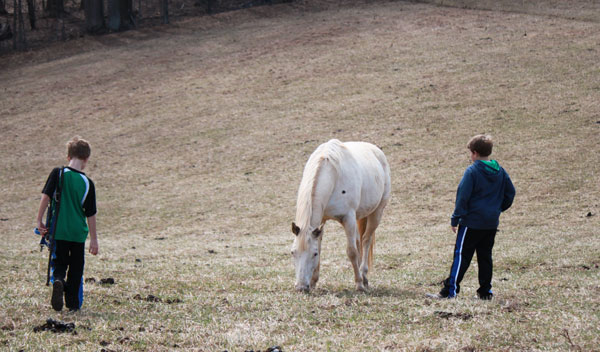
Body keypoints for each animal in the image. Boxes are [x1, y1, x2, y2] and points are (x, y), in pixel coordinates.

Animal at [292, 139, 394, 292]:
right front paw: (314, 282)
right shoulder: (321, 221)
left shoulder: (348, 218)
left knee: (366, 240)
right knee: (359, 241)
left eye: (313, 254)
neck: (332, 174)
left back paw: (364, 276)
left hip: (377, 212)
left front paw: (359, 284)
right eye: (293, 252)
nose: (301, 287)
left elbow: (351, 251)